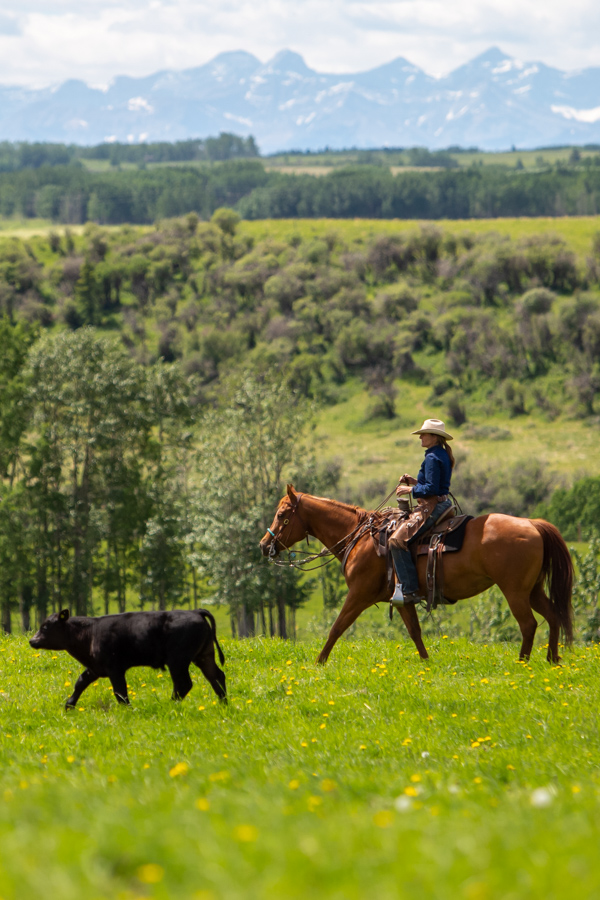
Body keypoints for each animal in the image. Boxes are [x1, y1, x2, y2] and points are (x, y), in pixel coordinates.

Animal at [29, 608, 226, 709]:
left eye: (45, 627)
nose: (32, 640)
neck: (90, 633)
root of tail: (195, 611)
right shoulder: (95, 667)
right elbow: (80, 683)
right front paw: (69, 705)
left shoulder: (114, 668)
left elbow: (120, 692)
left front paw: (128, 710)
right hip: (204, 656)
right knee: (216, 676)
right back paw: (223, 702)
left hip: (178, 660)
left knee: (184, 683)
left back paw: (170, 705)